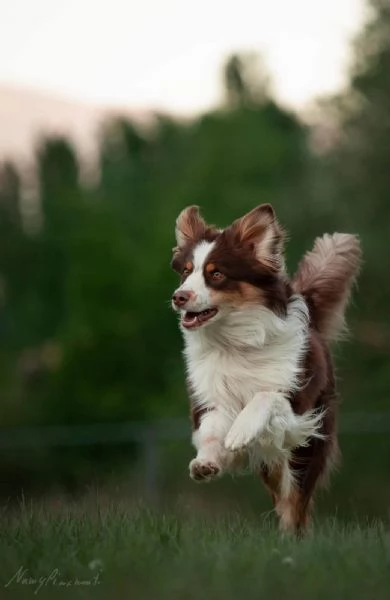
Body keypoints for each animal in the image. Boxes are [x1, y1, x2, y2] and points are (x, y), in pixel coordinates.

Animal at [172, 206, 362, 536]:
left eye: (216, 274)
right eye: (185, 272)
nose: (178, 296)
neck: (235, 342)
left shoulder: (298, 410)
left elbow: (265, 397)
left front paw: (241, 430)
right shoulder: (212, 397)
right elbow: (210, 431)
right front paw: (205, 462)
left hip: (309, 445)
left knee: (294, 500)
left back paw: (291, 536)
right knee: (279, 486)